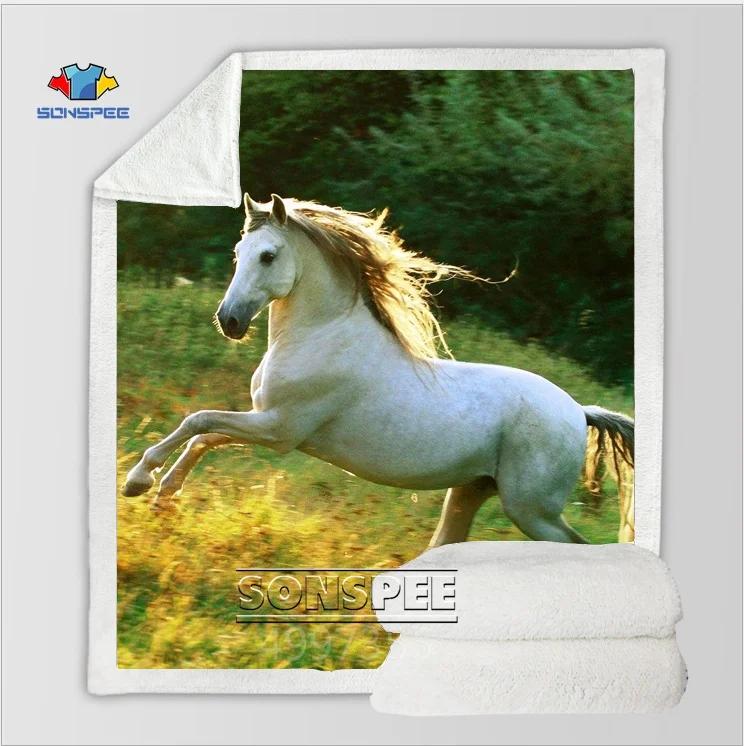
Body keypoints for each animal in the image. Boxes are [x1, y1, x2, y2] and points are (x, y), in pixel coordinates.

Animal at [122, 194, 635, 546]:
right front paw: (163, 497)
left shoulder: (280, 430)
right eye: (238, 251)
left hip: (531, 509)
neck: (322, 335)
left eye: (268, 255)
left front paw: (138, 480)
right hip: (472, 492)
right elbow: (204, 435)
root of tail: (579, 411)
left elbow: (199, 421)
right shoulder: (267, 423)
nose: (229, 321)